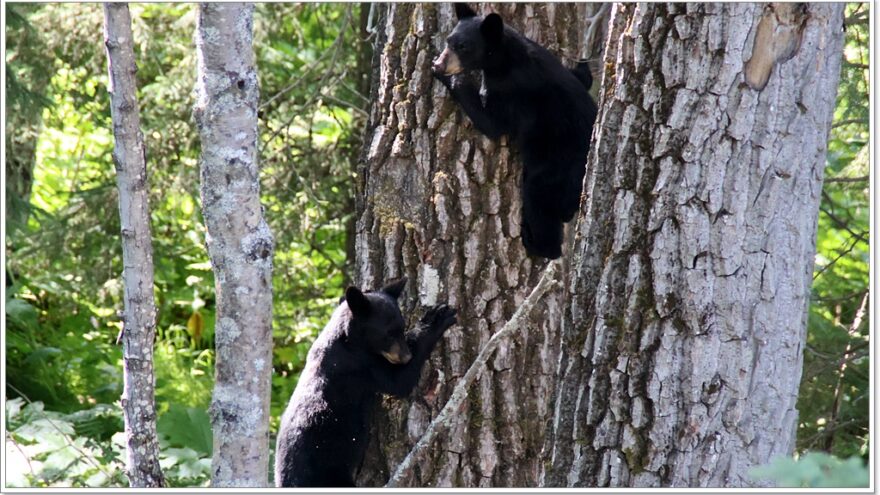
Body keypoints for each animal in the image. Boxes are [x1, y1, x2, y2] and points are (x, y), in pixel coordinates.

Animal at [274, 280, 454, 488]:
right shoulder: (360, 367)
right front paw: (436, 319)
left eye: (401, 328)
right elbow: (399, 381)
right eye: (388, 334)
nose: (406, 356)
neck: (349, 341)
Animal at [434, 2, 600, 260]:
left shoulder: (512, 93)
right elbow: (581, 77)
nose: (440, 63)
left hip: (556, 170)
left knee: (539, 200)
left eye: (462, 46)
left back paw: (536, 243)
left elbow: (493, 123)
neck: (504, 58)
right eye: (449, 40)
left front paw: (449, 77)